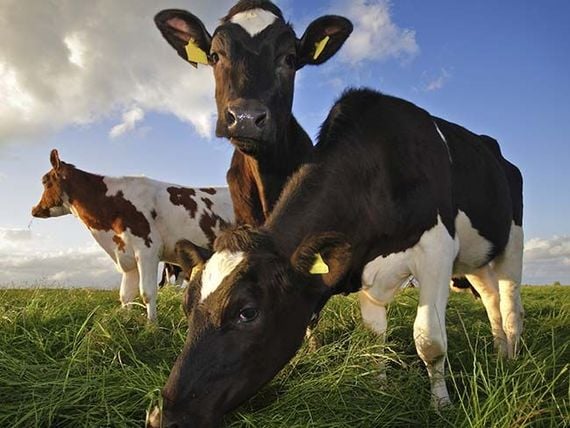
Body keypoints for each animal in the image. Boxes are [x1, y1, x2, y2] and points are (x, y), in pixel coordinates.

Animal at [30, 150, 231, 320]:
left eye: (44, 181)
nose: (34, 209)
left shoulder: (147, 249)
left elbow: (147, 293)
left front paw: (152, 327)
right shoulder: (126, 255)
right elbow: (125, 295)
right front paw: (125, 322)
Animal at [146, 88, 524, 426]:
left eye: (247, 312)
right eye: (186, 306)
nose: (165, 418)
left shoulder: (437, 249)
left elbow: (429, 339)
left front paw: (441, 406)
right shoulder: (368, 270)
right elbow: (374, 336)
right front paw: (380, 388)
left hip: (512, 242)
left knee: (509, 303)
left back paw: (512, 357)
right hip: (475, 260)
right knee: (490, 298)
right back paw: (498, 352)